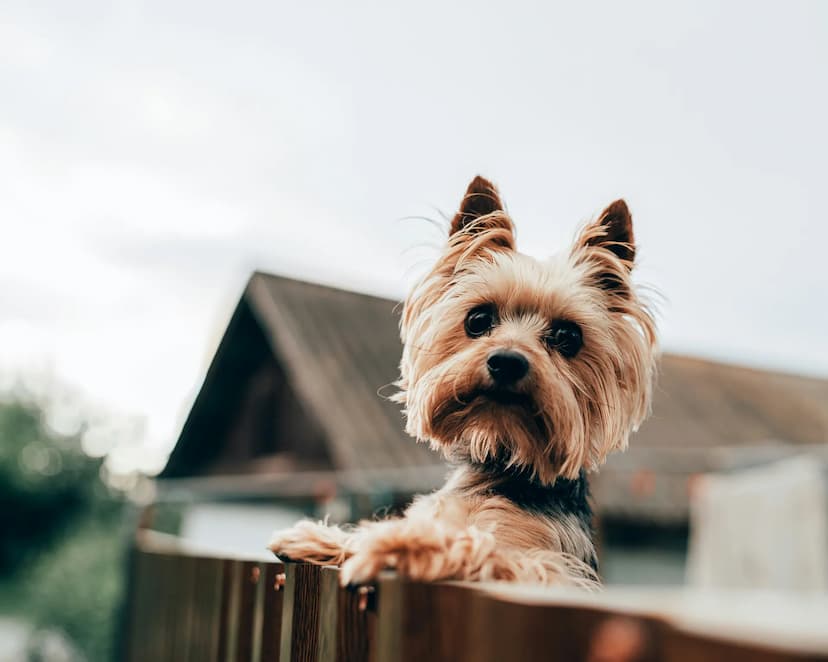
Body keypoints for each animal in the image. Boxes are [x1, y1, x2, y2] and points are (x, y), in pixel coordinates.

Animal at [272, 176, 660, 588]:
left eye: (568, 336)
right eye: (478, 319)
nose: (507, 361)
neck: (502, 464)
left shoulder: (553, 571)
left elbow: (478, 543)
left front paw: (395, 543)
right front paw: (317, 537)